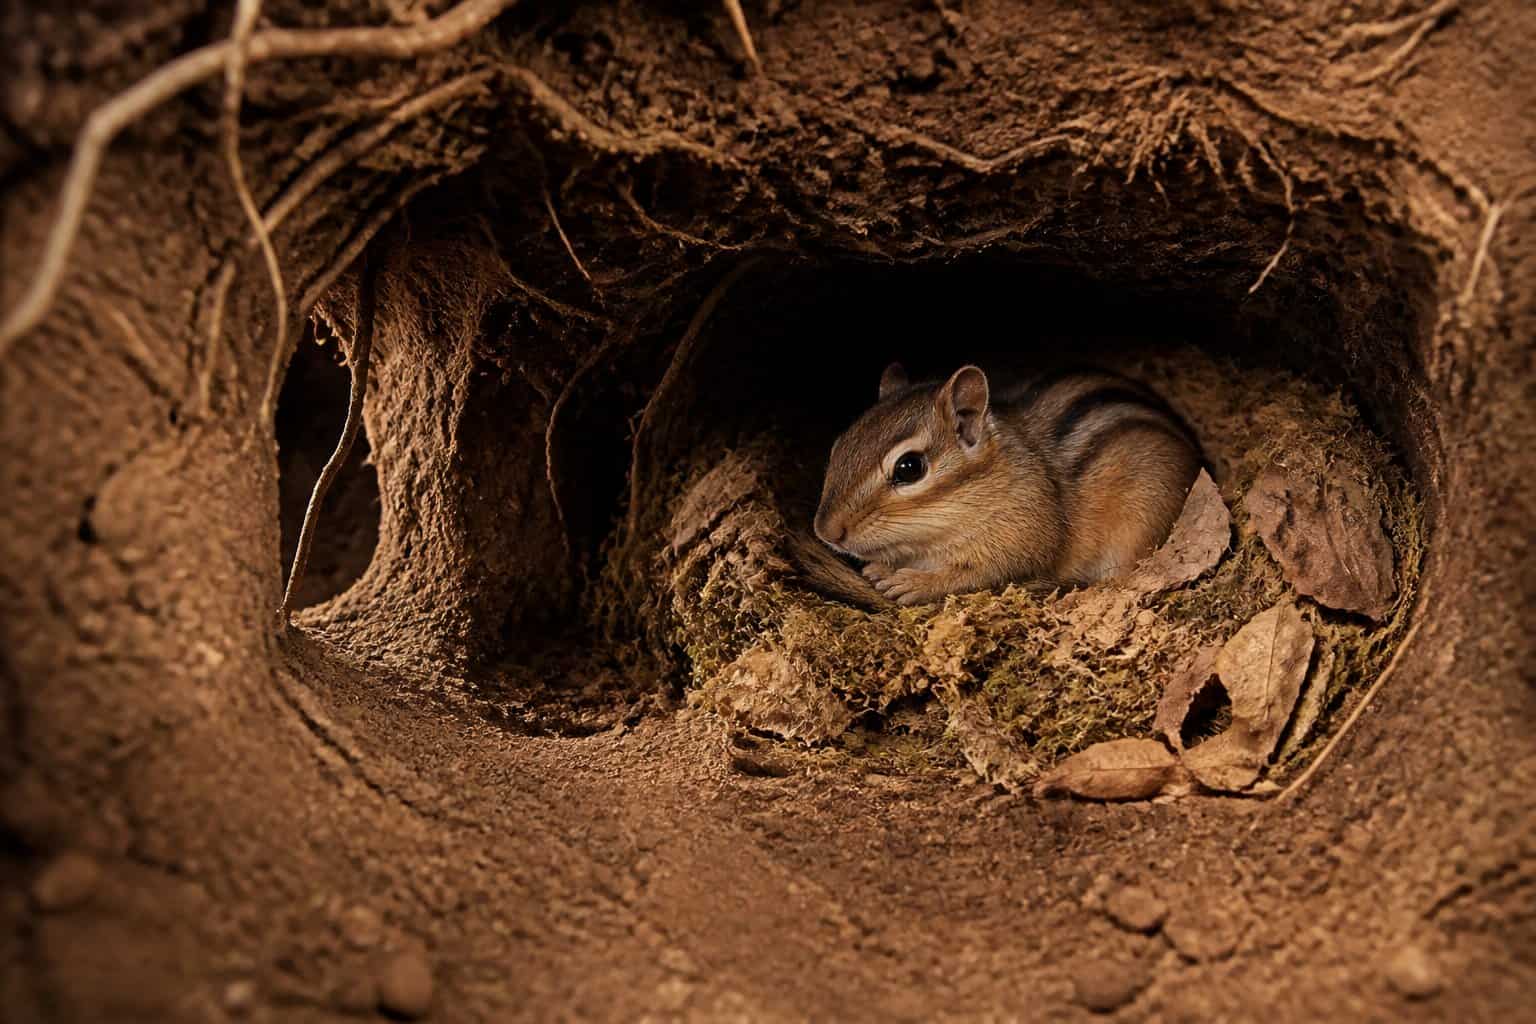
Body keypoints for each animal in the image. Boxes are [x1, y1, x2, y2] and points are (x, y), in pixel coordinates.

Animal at [806, 363, 1202, 606]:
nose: (826, 531)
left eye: (909, 468)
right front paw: (881, 568)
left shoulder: (1021, 541)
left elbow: (975, 576)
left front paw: (911, 583)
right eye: (839, 445)